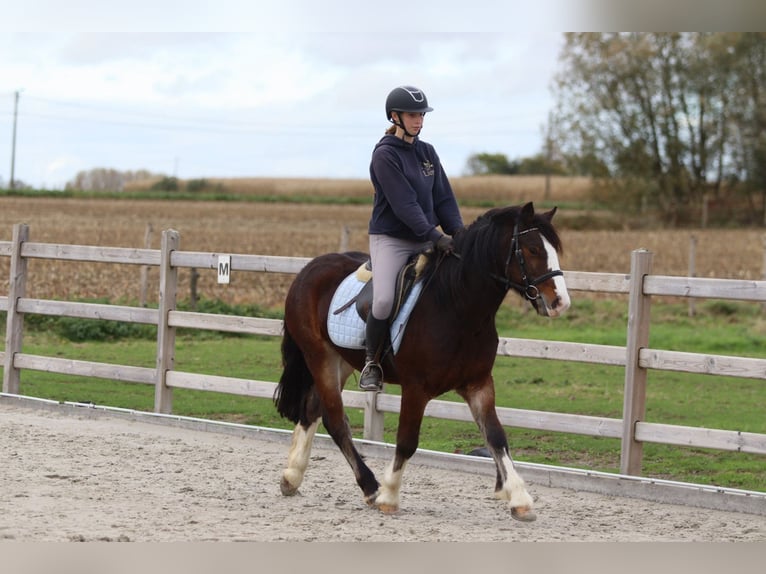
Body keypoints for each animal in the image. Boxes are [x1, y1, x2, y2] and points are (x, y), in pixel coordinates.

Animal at [273, 202, 570, 521]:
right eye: (532, 249)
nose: (560, 303)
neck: (456, 305)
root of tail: (309, 269)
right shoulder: (416, 389)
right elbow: (407, 441)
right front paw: (389, 496)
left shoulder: (478, 384)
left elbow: (496, 437)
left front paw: (519, 498)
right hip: (320, 357)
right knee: (336, 420)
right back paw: (371, 488)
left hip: (340, 360)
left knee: (313, 410)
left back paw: (292, 477)